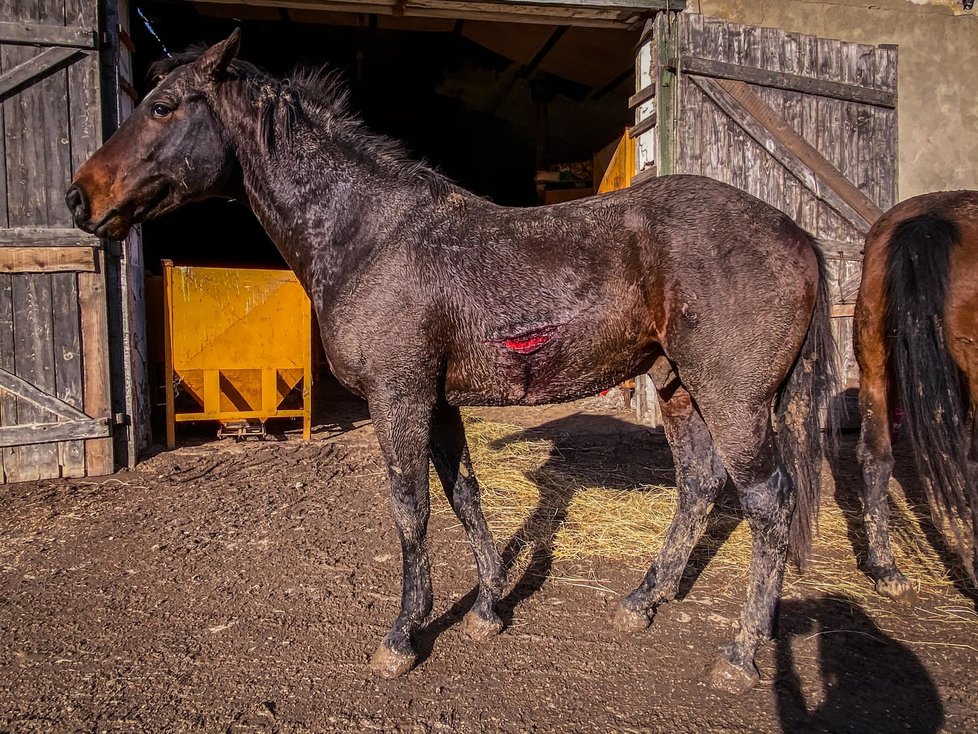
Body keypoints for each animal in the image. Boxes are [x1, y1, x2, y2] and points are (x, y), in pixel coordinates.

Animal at [65, 30, 836, 696]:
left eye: (163, 106)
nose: (79, 197)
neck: (371, 235)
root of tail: (797, 234)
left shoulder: (399, 396)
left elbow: (412, 510)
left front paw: (403, 636)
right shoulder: (436, 401)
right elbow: (464, 495)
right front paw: (489, 610)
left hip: (734, 400)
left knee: (767, 505)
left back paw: (740, 655)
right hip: (677, 387)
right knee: (699, 485)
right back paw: (643, 601)